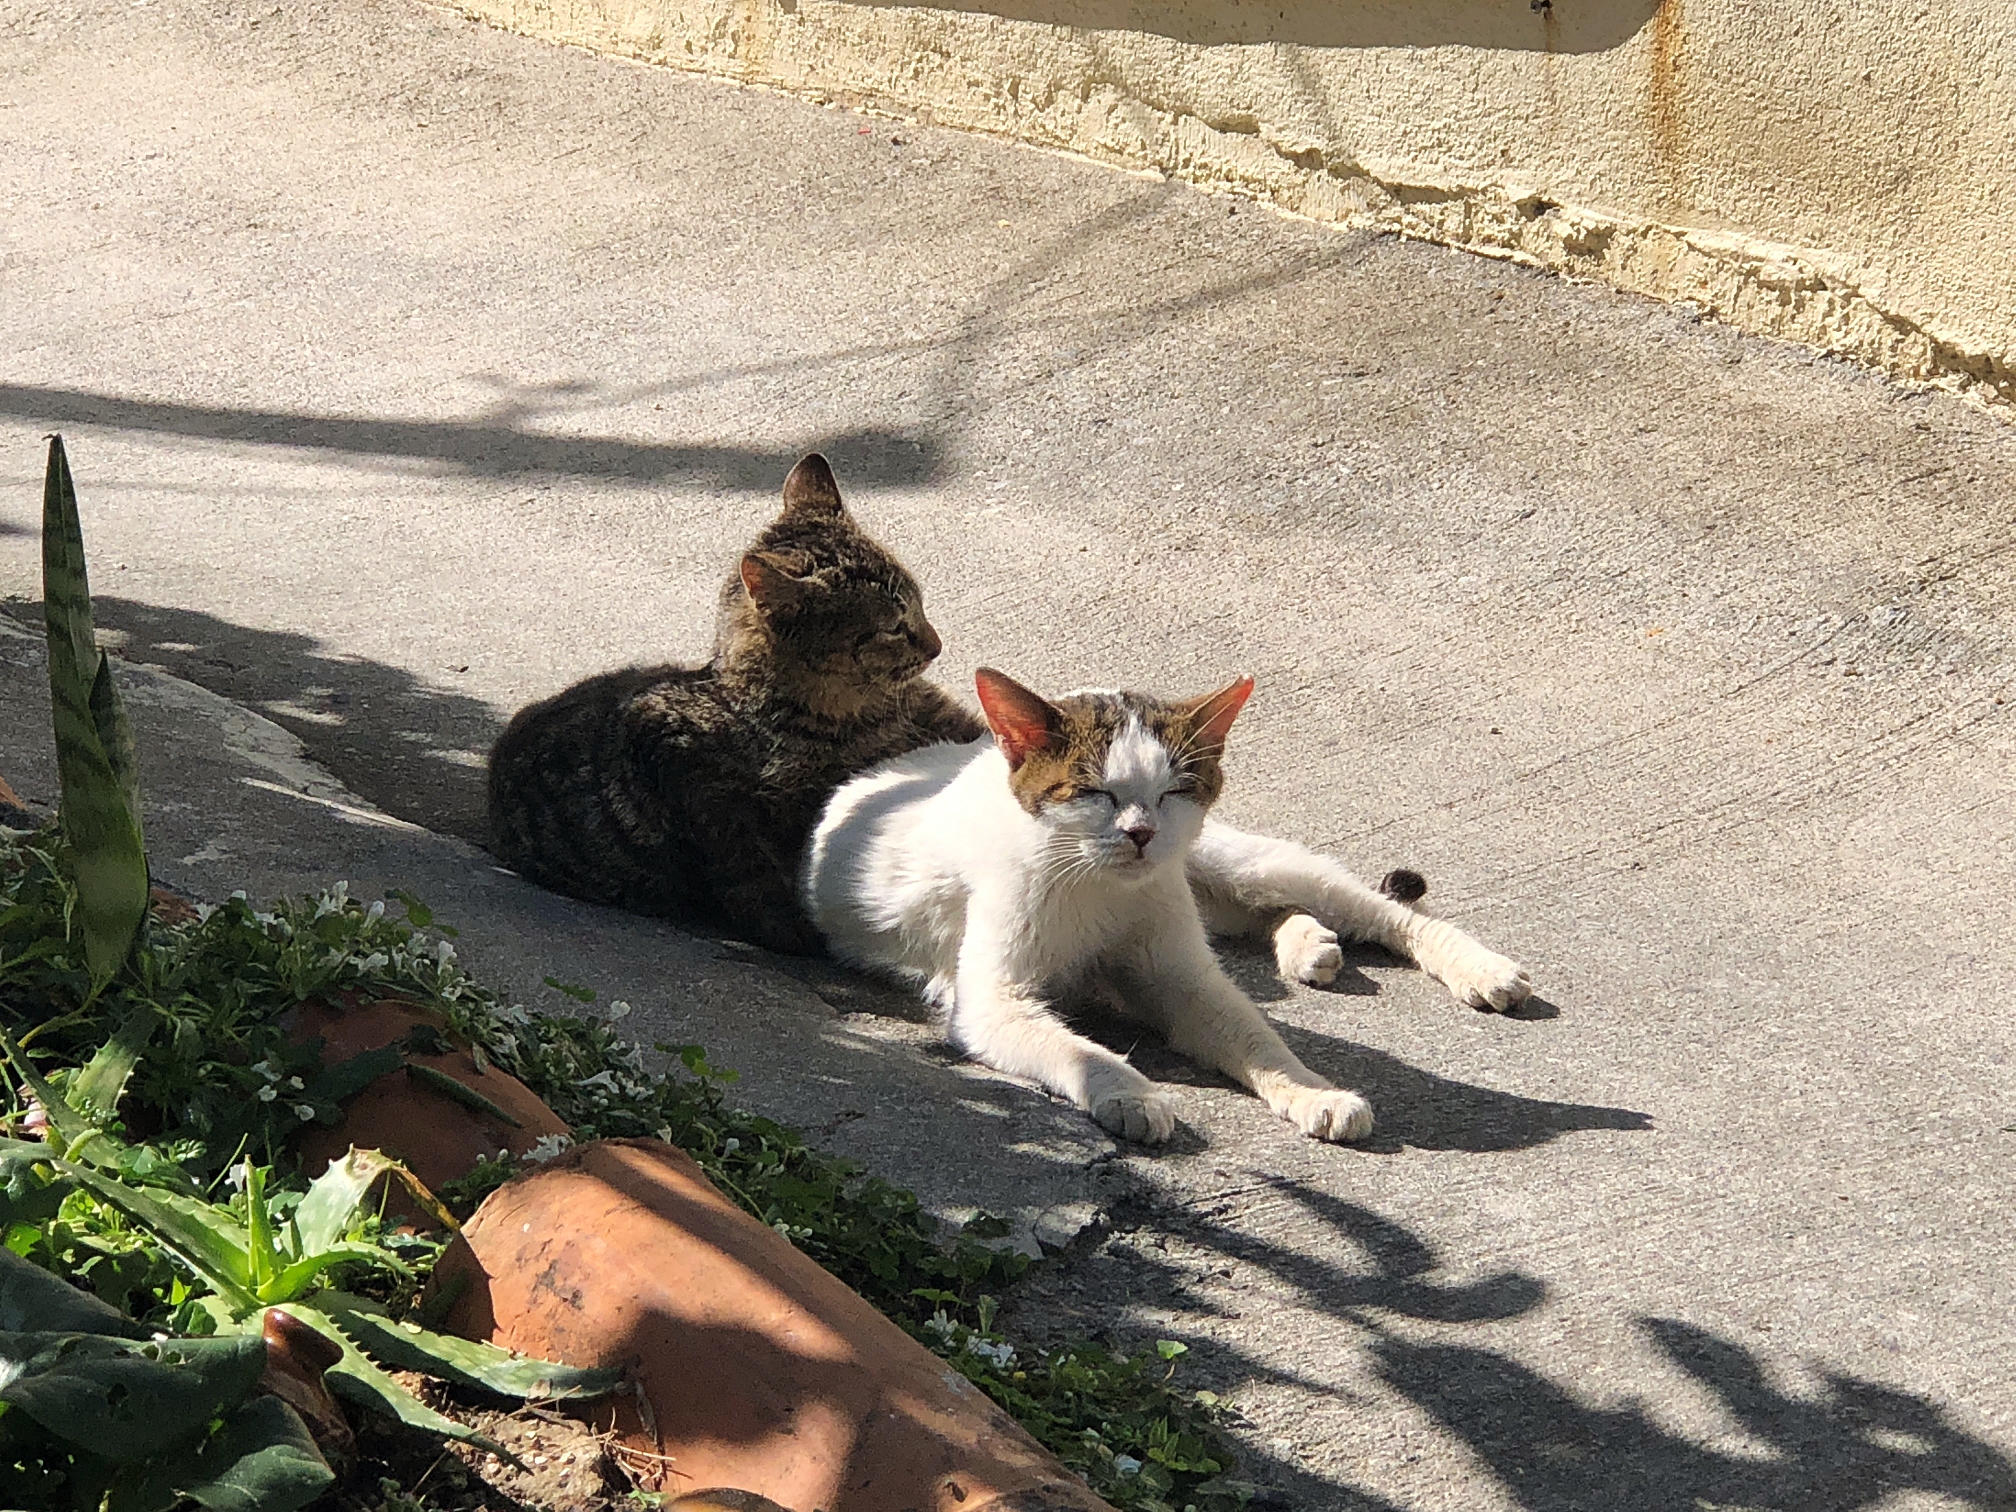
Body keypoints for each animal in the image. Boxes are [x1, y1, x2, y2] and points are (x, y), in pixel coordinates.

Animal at [802, 668, 1532, 1143]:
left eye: (1172, 792)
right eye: (1092, 792)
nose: (1142, 834)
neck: (1100, 887)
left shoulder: (1183, 976)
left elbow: (1254, 1036)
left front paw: (1312, 1089)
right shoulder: (991, 1000)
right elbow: (1077, 1048)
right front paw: (1128, 1093)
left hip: (1230, 861)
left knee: (1375, 908)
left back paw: (1479, 968)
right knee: (1265, 916)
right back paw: (1309, 946)